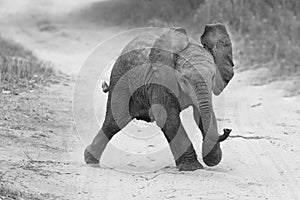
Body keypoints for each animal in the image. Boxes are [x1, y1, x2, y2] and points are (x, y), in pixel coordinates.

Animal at [84, 23, 234, 170]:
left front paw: (212, 159)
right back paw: (90, 160)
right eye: (184, 80)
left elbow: (201, 115)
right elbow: (166, 117)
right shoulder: (160, 81)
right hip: (120, 78)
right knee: (116, 120)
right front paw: (193, 167)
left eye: (213, 77)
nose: (227, 130)